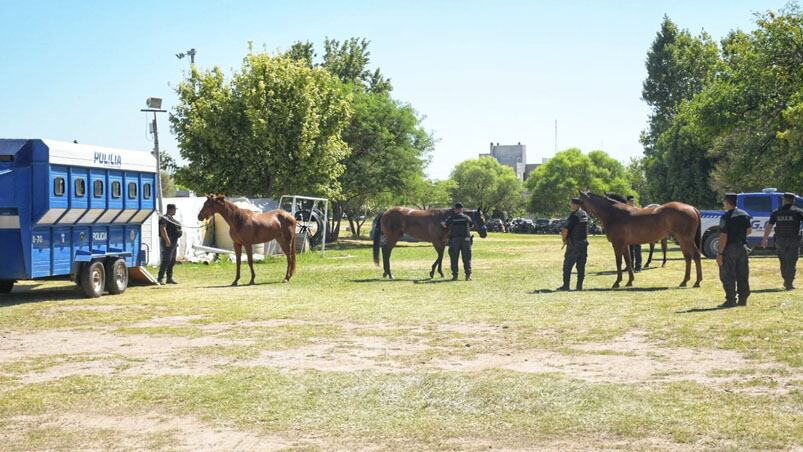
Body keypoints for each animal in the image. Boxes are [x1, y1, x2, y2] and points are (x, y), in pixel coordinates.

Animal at [576, 192, 704, 288]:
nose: (581, 215)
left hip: (686, 239)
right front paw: (629, 281)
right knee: (688, 258)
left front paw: (617, 282)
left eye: (580, 201)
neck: (614, 214)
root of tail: (691, 208)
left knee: (696, 255)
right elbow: (628, 261)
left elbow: (619, 262)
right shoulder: (624, 244)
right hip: (682, 240)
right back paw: (684, 281)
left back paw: (697, 282)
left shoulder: (617, 244)